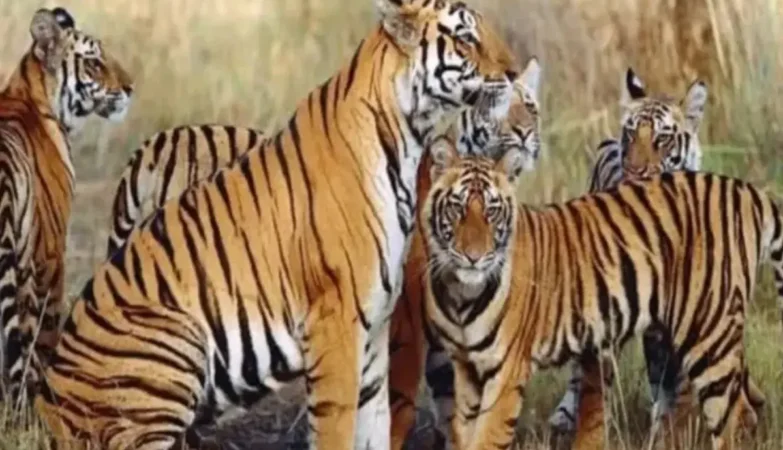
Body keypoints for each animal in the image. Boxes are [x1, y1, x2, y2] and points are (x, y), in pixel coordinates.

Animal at [34, 0, 521, 448]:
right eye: (466, 39)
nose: (515, 73)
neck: (408, 136)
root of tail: (45, 400)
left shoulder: (374, 330)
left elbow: (376, 425)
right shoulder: (336, 324)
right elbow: (337, 428)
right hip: (175, 340)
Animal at [420, 140, 782, 450]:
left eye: (492, 211)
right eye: (457, 208)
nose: (473, 256)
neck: (462, 295)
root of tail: (747, 191)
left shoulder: (506, 372)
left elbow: (488, 437)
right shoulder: (466, 369)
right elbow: (464, 433)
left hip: (709, 334)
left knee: (731, 419)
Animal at [549, 67, 767, 448]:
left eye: (662, 138)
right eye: (631, 133)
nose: (636, 170)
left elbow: (674, 388)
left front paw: (669, 433)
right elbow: (598, 388)